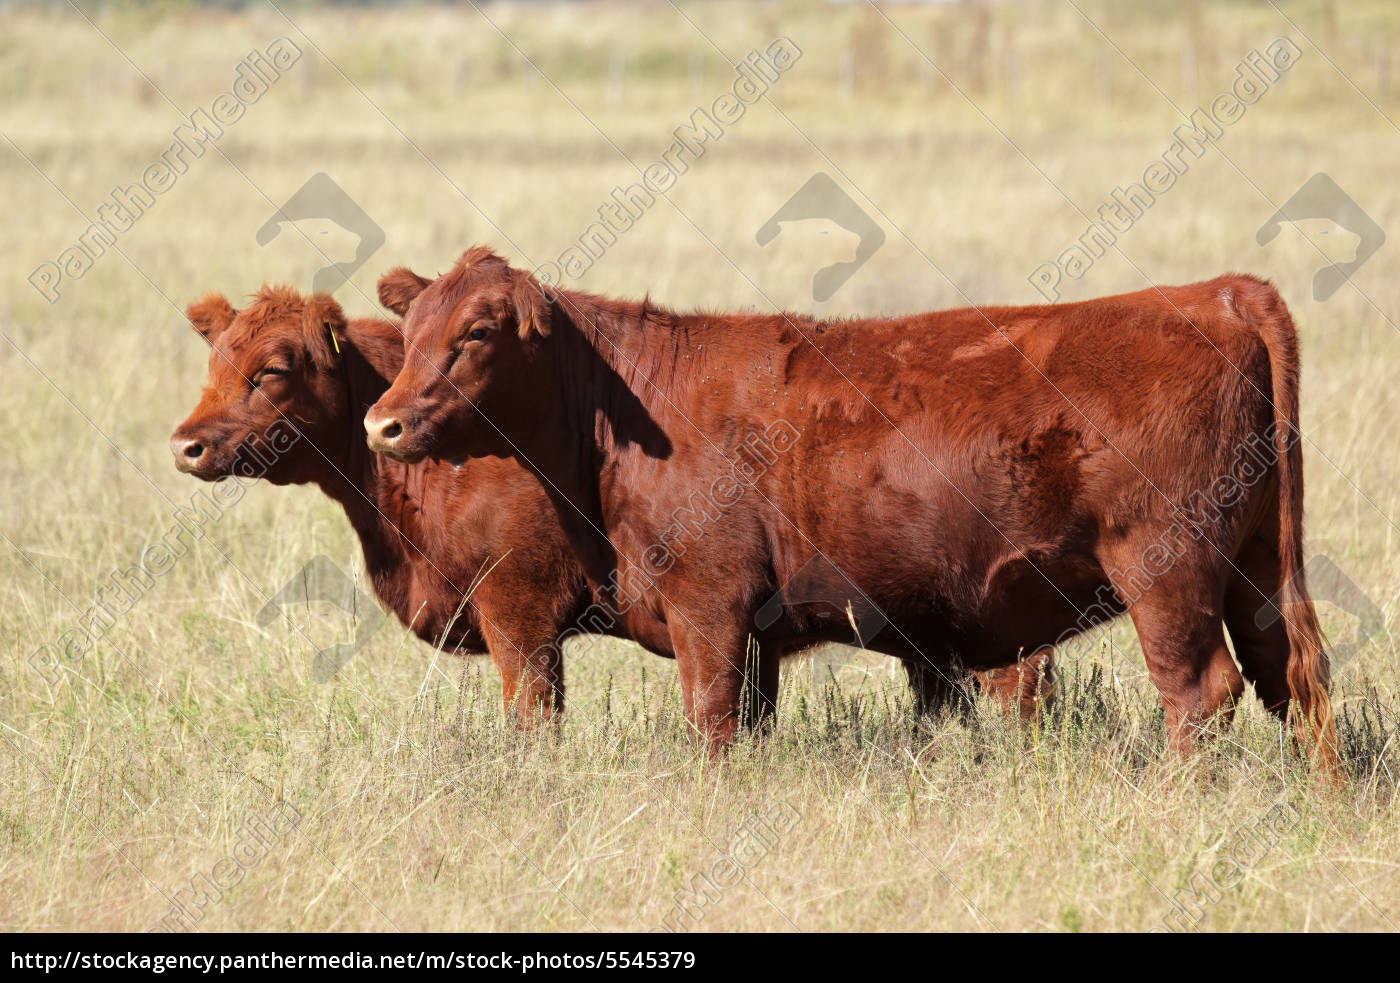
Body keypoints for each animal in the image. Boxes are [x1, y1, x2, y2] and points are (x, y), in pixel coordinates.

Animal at [366, 247, 1338, 772]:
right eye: (408, 334)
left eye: (476, 333)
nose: (384, 422)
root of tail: (1217, 290)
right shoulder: (751, 629)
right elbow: (747, 724)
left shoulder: (708, 601)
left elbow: (711, 722)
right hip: (1257, 566)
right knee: (1296, 676)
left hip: (1165, 568)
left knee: (1200, 691)